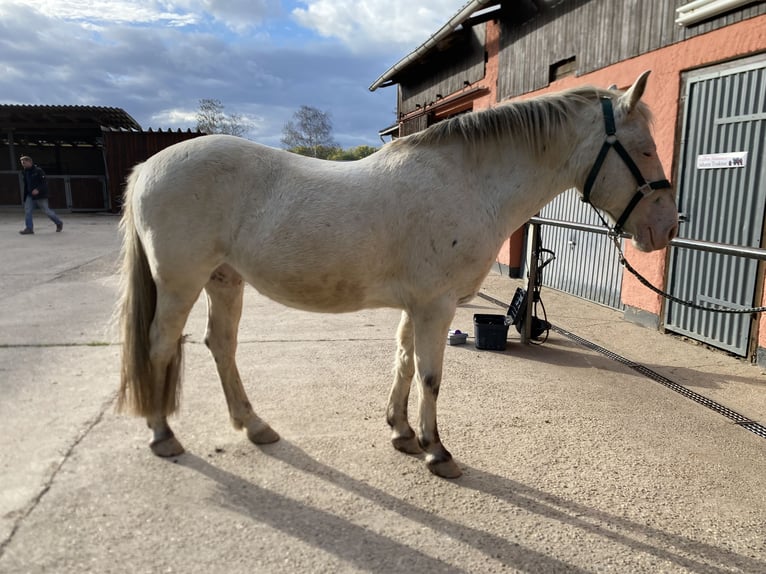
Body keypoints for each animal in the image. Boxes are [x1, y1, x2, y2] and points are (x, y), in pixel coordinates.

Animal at [117, 71, 678, 479]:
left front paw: (402, 433)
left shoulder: (417, 305)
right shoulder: (436, 304)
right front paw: (436, 451)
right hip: (180, 283)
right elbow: (430, 375)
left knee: (221, 344)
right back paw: (164, 435)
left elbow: (404, 362)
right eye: (646, 148)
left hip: (224, 281)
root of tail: (148, 167)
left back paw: (254, 426)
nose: (667, 227)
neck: (468, 182)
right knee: (161, 344)